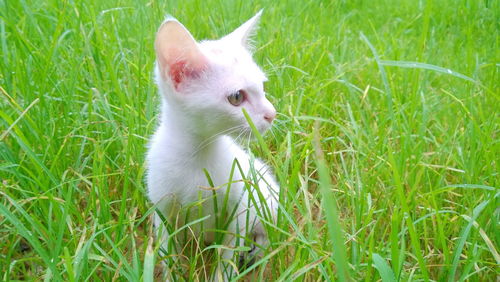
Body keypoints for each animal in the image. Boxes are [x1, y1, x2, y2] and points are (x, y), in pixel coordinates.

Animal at [147, 11, 282, 280]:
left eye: (262, 87)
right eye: (237, 97)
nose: (271, 114)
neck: (197, 154)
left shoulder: (240, 208)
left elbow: (228, 251)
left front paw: (223, 274)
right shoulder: (162, 208)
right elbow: (167, 251)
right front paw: (172, 273)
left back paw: (255, 252)